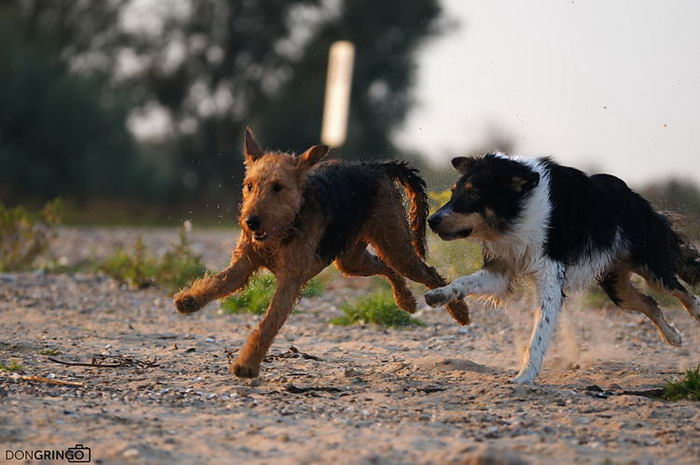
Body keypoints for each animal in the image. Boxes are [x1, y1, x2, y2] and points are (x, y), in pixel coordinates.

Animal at [174, 128, 470, 376]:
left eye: (278, 187)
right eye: (249, 185)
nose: (250, 222)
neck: (286, 225)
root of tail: (376, 166)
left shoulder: (290, 279)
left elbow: (268, 323)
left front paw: (246, 365)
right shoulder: (244, 264)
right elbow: (217, 282)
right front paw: (189, 300)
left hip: (395, 246)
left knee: (429, 273)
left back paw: (459, 312)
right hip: (351, 260)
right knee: (387, 269)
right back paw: (406, 300)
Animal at [424, 154, 700, 382]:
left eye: (473, 194)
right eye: (454, 191)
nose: (431, 220)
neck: (519, 211)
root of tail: (636, 198)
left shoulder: (550, 276)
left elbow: (540, 333)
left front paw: (525, 376)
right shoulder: (500, 270)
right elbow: (463, 282)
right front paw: (440, 294)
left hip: (652, 266)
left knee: (681, 291)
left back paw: (696, 314)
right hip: (616, 285)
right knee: (649, 302)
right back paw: (673, 337)